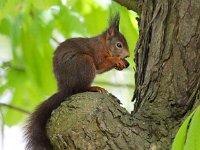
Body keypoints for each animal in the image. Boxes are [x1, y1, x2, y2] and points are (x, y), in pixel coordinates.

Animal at [24, 13, 130, 149]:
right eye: (119, 45)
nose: (127, 55)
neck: (103, 45)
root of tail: (65, 88)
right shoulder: (97, 53)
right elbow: (100, 64)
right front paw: (117, 60)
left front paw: (123, 63)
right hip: (85, 62)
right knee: (79, 89)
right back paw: (94, 88)